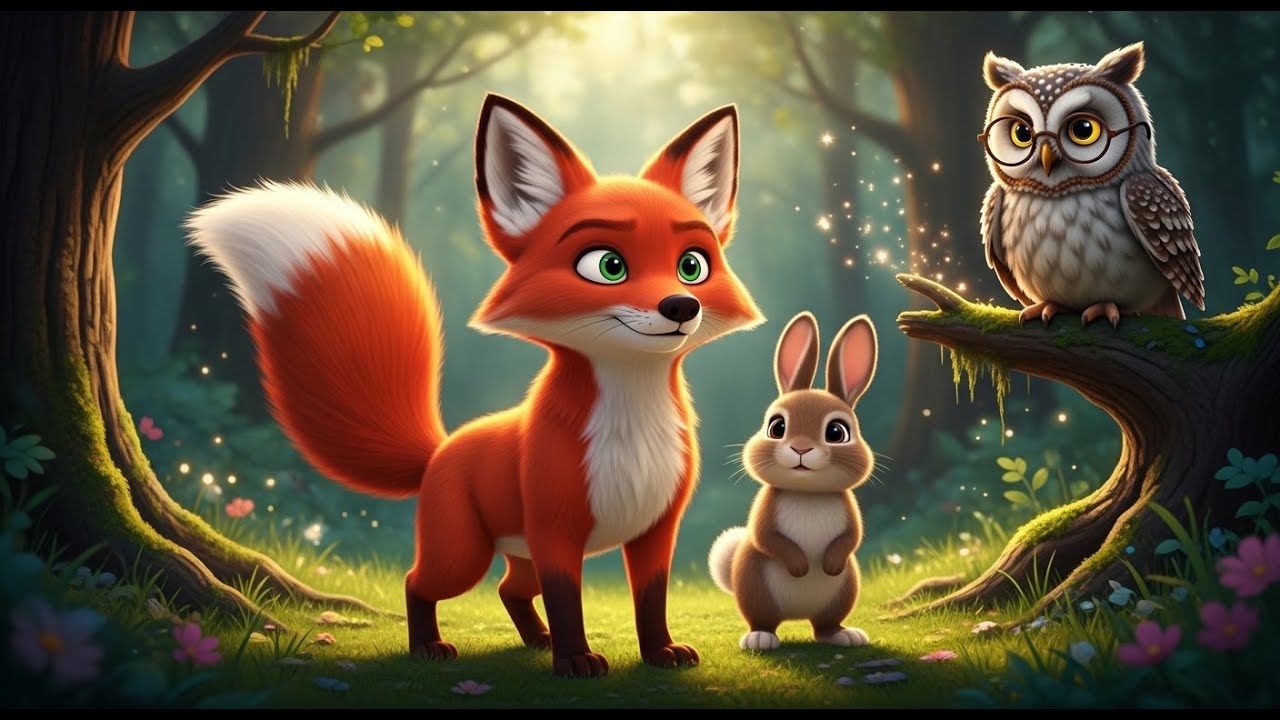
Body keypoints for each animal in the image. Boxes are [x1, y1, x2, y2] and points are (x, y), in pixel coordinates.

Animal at [185, 94, 763, 677]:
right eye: (608, 265)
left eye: (691, 265)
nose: (681, 306)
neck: (631, 426)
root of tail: (440, 450)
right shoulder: (556, 531)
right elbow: (567, 600)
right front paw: (575, 659)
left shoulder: (655, 531)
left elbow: (650, 601)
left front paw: (659, 652)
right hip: (462, 554)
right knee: (419, 582)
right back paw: (430, 646)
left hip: (516, 552)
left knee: (510, 590)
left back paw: (534, 639)